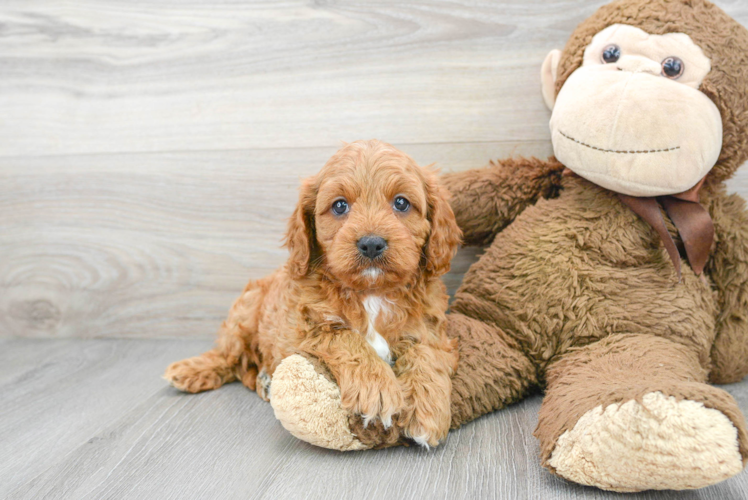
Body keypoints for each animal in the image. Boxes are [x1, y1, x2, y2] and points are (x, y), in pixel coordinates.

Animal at [165, 139, 462, 448]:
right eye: (340, 206)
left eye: (401, 203)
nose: (371, 243)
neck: (370, 293)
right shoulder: (306, 328)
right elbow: (347, 339)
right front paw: (377, 389)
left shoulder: (429, 325)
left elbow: (426, 354)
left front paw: (427, 410)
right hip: (245, 311)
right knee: (229, 355)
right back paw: (192, 370)